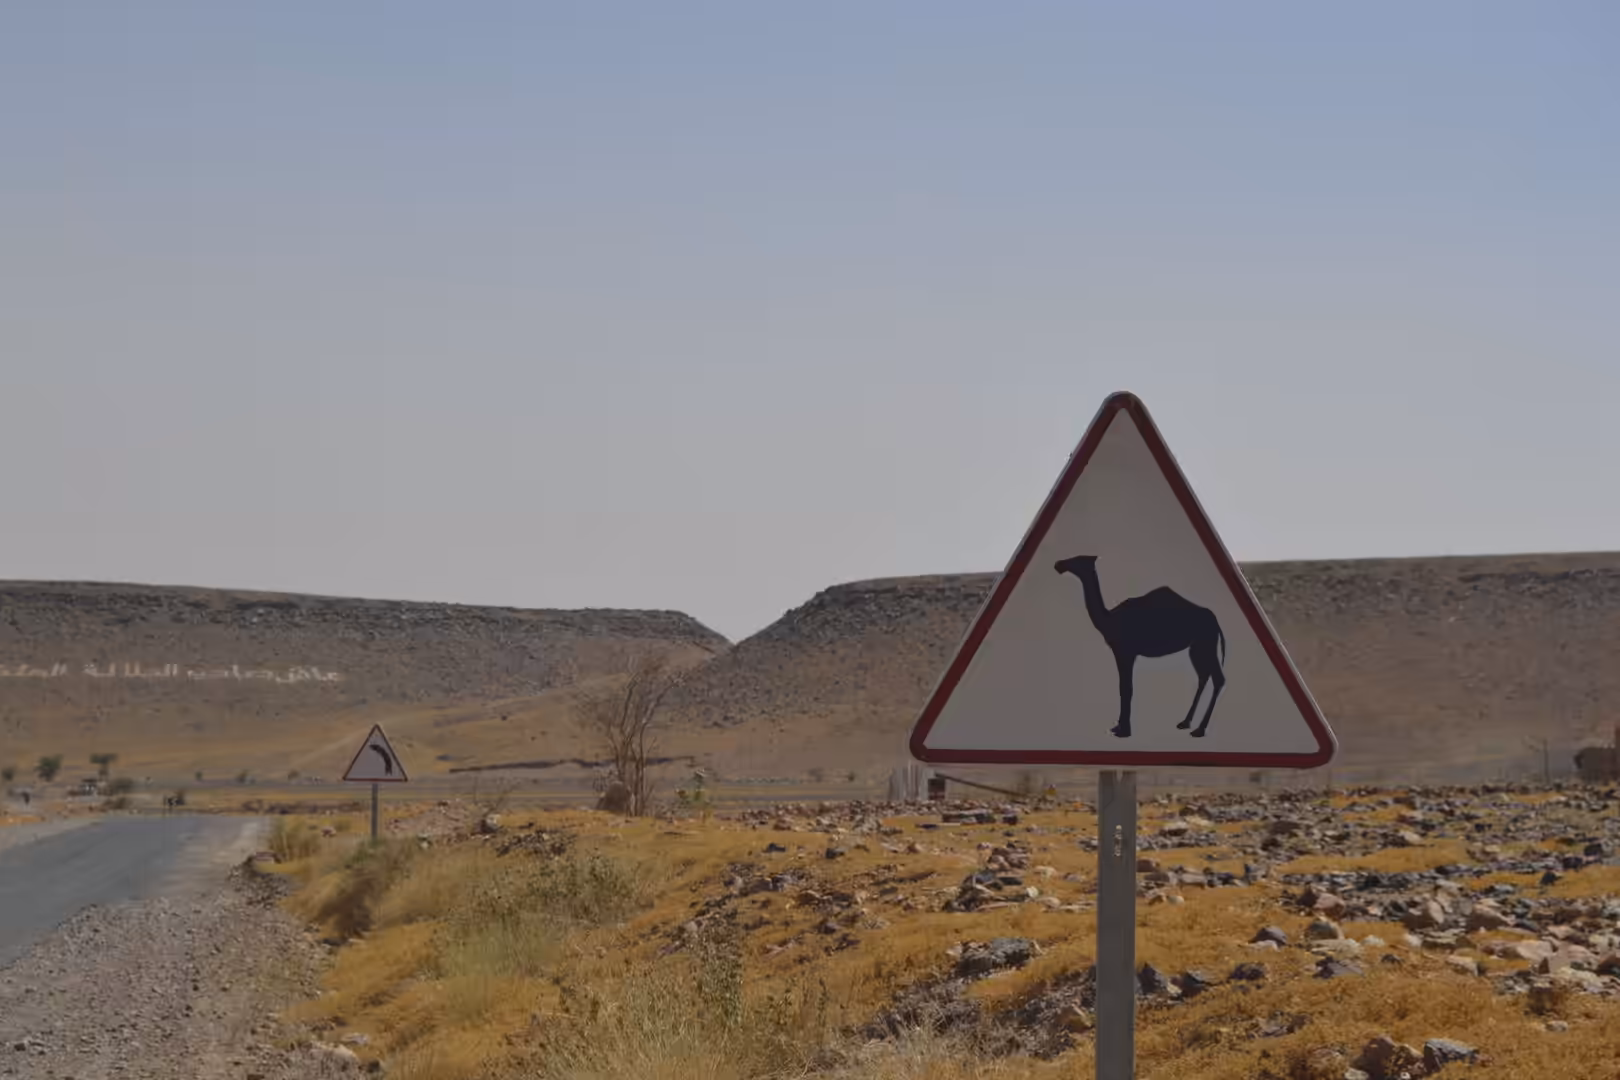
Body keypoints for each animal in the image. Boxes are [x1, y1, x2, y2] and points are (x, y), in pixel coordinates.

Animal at [1053, 555, 1225, 739]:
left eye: (1078, 559)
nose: (1059, 564)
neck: (1109, 620)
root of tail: (1216, 622)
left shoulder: (1125, 652)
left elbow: (1126, 688)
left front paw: (1123, 731)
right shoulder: (1123, 653)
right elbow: (1123, 687)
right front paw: (1117, 727)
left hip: (1206, 643)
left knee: (1218, 678)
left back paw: (1199, 730)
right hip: (1197, 647)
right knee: (1203, 676)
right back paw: (1185, 723)